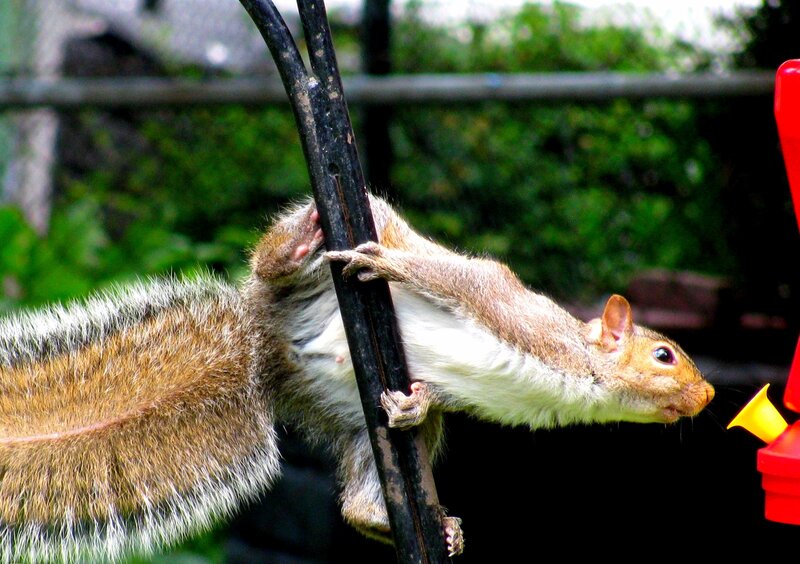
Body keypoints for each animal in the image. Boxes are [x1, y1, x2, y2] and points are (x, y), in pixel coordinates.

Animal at [0, 194, 714, 562]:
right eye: (664, 356)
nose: (708, 395)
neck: (576, 374)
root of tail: (261, 345)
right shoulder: (508, 310)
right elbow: (452, 277)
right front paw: (391, 265)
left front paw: (417, 406)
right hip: (296, 269)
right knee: (277, 261)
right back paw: (299, 248)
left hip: (346, 413)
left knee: (358, 493)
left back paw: (412, 506)